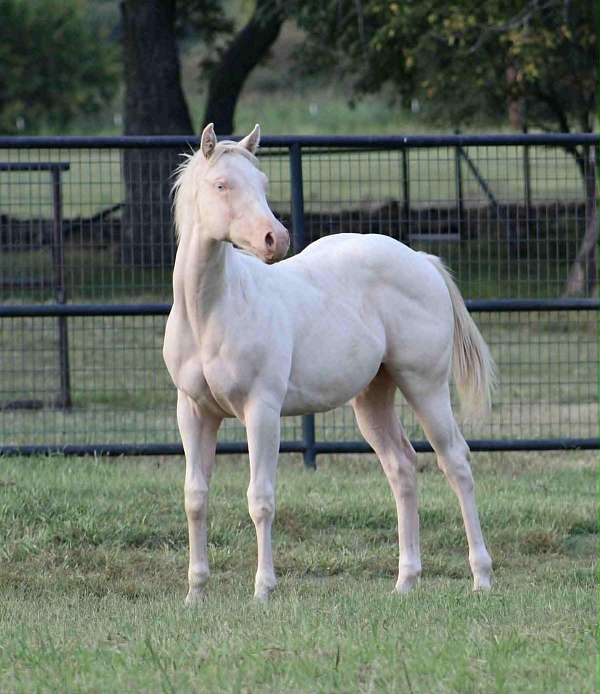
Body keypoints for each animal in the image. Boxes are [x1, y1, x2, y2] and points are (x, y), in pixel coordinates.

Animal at [163, 123, 496, 604]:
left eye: (261, 182)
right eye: (221, 185)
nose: (276, 239)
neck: (211, 312)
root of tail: (420, 260)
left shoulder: (261, 411)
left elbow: (260, 498)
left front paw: (263, 590)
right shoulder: (193, 411)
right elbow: (195, 497)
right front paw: (196, 593)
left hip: (426, 388)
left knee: (456, 463)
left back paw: (481, 577)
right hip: (372, 398)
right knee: (401, 468)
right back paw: (405, 581)